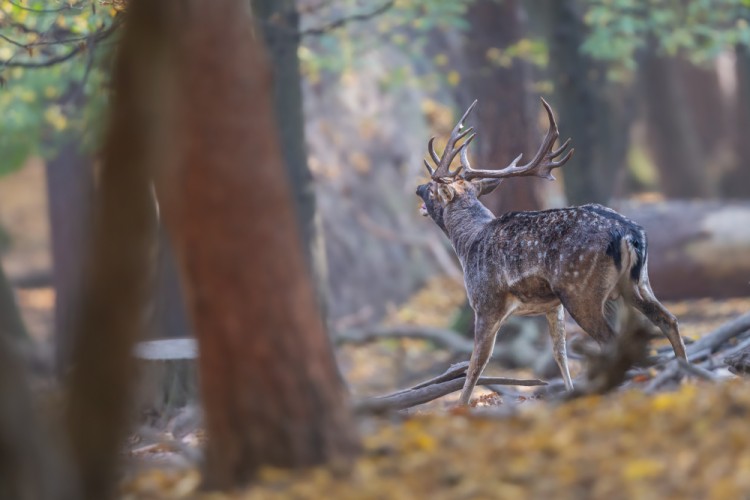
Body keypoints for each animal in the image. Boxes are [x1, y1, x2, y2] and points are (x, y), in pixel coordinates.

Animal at [414, 98, 692, 406]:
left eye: (434, 188)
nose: (419, 188)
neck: (467, 243)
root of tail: (629, 233)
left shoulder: (486, 301)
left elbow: (477, 364)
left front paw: (460, 407)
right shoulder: (551, 305)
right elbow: (560, 353)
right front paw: (568, 391)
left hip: (581, 290)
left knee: (612, 340)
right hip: (638, 283)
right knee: (669, 320)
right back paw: (684, 379)